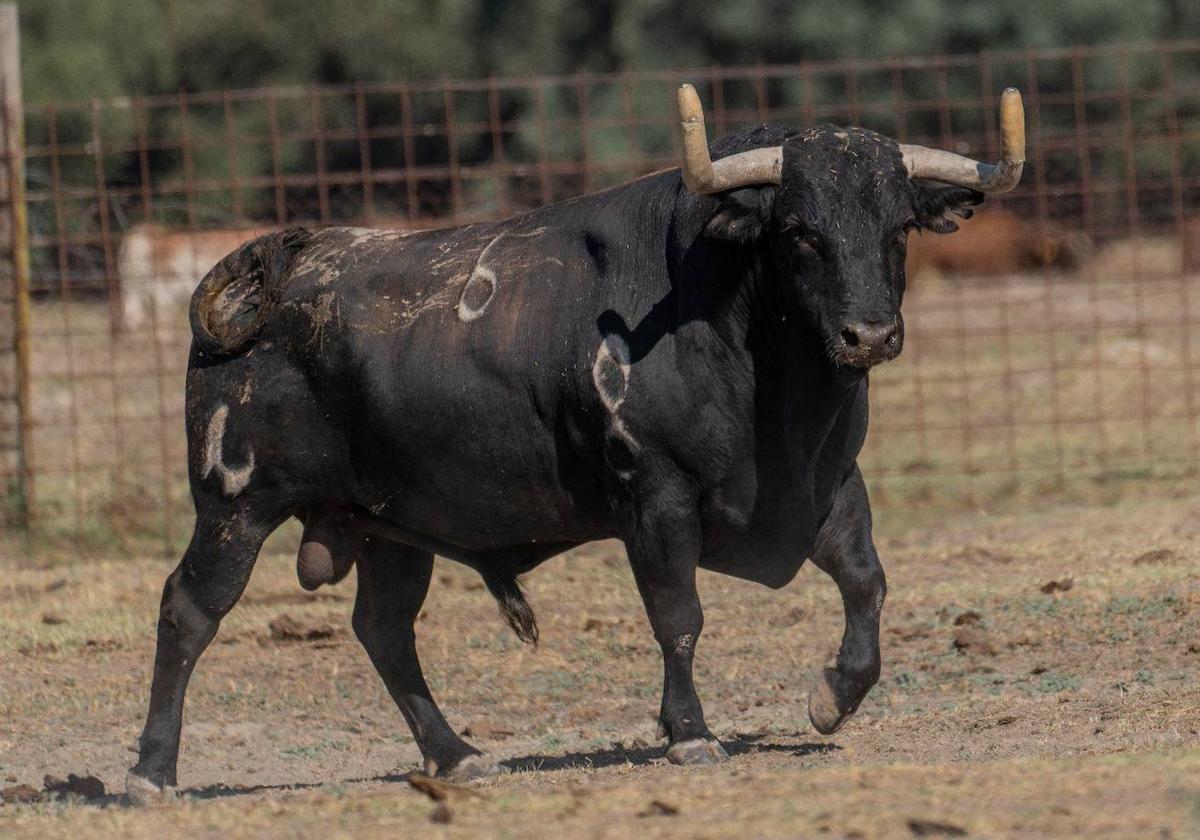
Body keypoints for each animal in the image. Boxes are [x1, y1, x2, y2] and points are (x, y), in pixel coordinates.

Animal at [124, 121, 984, 796]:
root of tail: (274, 273)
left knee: (384, 631)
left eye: (898, 228)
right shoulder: (656, 500)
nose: (869, 334)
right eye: (802, 230)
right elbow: (679, 617)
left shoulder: (830, 485)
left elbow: (867, 582)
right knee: (188, 610)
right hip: (236, 506)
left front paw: (834, 694)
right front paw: (690, 732)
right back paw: (152, 773)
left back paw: (457, 755)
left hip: (386, 527)